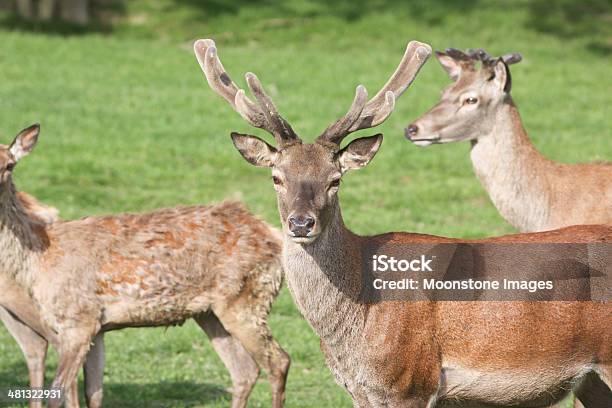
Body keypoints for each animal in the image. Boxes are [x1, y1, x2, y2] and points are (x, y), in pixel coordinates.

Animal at [0, 124, 290, 408]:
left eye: (10, 165)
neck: (39, 260)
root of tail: (274, 236)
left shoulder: (77, 320)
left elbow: (57, 393)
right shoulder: (96, 326)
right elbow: (93, 393)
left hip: (248, 299)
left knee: (279, 361)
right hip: (210, 313)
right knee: (244, 371)